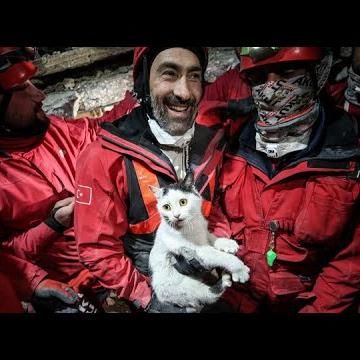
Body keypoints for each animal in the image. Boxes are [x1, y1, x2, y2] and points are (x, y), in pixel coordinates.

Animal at [148, 172, 249, 312]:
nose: (176, 215)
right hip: (183, 288)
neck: (192, 225)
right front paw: (240, 270)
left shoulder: (204, 232)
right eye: (166, 207)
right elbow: (220, 256)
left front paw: (227, 244)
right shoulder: (196, 250)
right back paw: (224, 281)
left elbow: (212, 238)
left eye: (183, 202)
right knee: (209, 294)